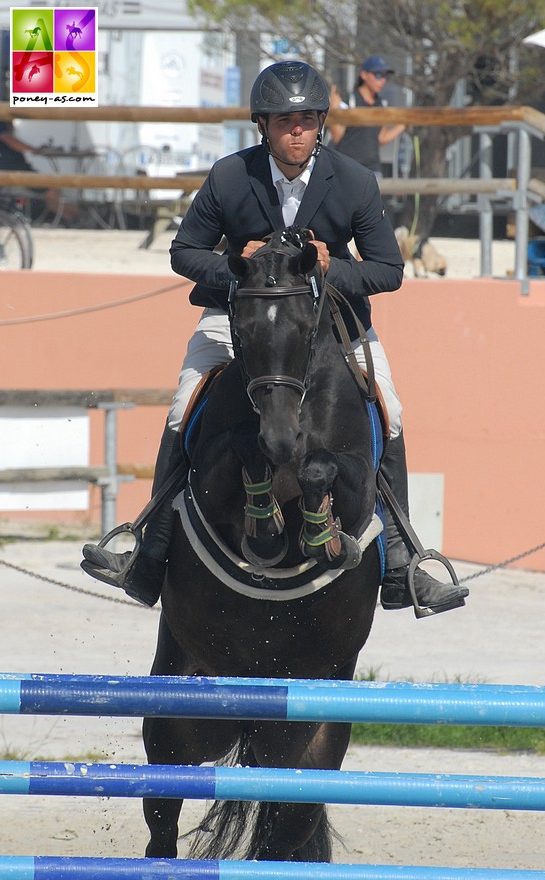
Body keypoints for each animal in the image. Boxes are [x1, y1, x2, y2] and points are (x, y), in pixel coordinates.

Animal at [142, 230, 384, 864]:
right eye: (244, 331)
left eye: (303, 329)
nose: (282, 439)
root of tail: (254, 705)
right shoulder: (213, 471)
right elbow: (241, 456)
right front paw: (267, 526)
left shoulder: (355, 481)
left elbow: (325, 471)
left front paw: (318, 532)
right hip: (178, 726)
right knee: (162, 817)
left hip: (308, 747)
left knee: (286, 827)